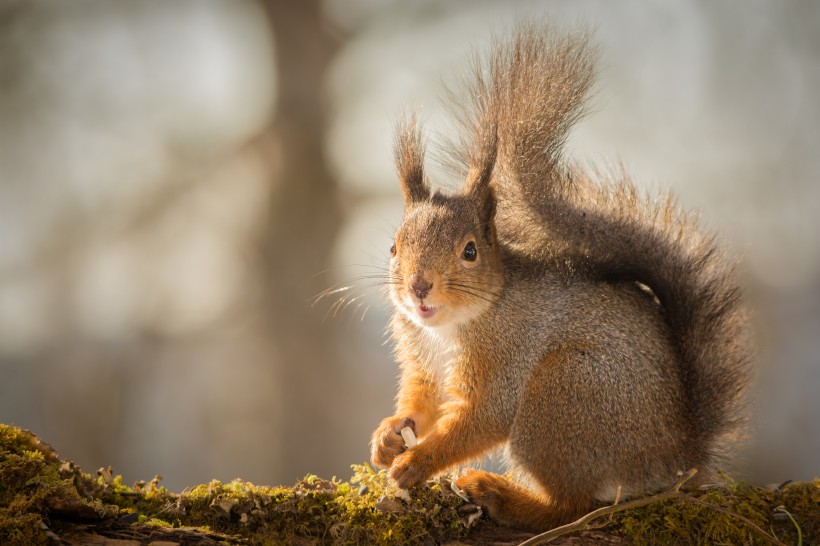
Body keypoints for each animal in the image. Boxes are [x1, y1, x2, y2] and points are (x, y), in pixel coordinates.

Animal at [368, 23, 752, 528]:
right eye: (394, 247)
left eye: (470, 251)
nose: (418, 287)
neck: (452, 326)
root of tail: (678, 456)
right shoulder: (422, 359)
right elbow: (422, 401)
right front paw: (390, 436)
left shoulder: (506, 359)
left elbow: (484, 417)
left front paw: (417, 462)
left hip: (561, 397)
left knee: (571, 506)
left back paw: (498, 494)